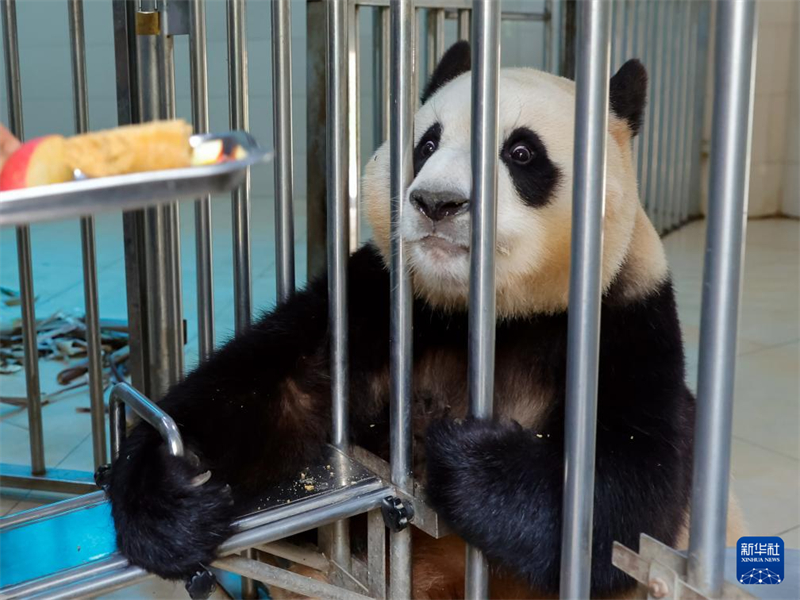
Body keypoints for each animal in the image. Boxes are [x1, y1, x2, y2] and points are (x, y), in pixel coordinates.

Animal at [107, 41, 745, 600]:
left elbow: (625, 502)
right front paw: (169, 497)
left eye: (521, 153)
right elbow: (267, 385)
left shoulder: (625, 322)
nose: (437, 203)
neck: (489, 313)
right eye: (427, 144)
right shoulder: (382, 299)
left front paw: (468, 460)